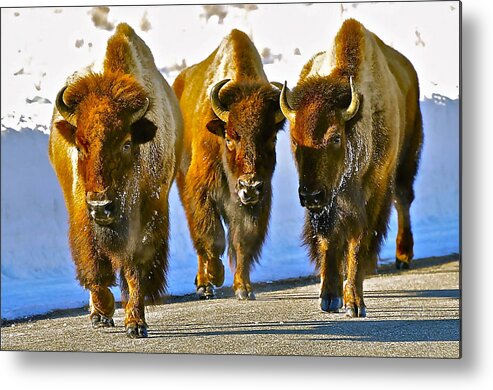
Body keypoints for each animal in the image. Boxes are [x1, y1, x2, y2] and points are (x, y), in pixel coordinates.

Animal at [47, 22, 183, 336]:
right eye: (80, 146)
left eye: (126, 143)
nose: (101, 206)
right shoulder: (83, 213)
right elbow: (96, 266)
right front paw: (102, 312)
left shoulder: (148, 217)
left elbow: (135, 271)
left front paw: (135, 323)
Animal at [172, 29, 284, 300]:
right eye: (230, 138)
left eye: (272, 138)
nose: (250, 186)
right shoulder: (201, 192)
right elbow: (212, 237)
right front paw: (215, 276)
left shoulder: (255, 205)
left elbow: (242, 242)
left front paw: (244, 288)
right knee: (200, 242)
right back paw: (204, 285)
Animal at [278, 18, 420, 316]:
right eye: (294, 139)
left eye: (335, 137)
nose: (310, 195)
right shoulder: (328, 203)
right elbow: (329, 239)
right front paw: (329, 297)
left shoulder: (373, 193)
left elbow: (358, 241)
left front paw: (354, 303)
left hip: (407, 159)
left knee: (403, 199)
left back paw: (403, 256)